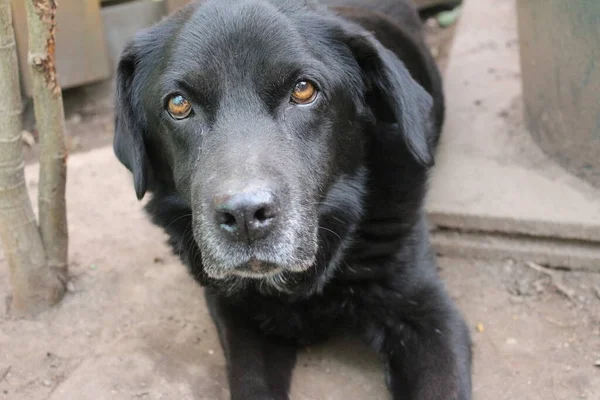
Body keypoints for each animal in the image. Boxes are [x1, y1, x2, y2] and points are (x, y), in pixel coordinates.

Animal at [112, 0, 468, 396]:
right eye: (177, 104)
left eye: (303, 90)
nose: (245, 217)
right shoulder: (237, 316)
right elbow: (251, 383)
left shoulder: (429, 315)